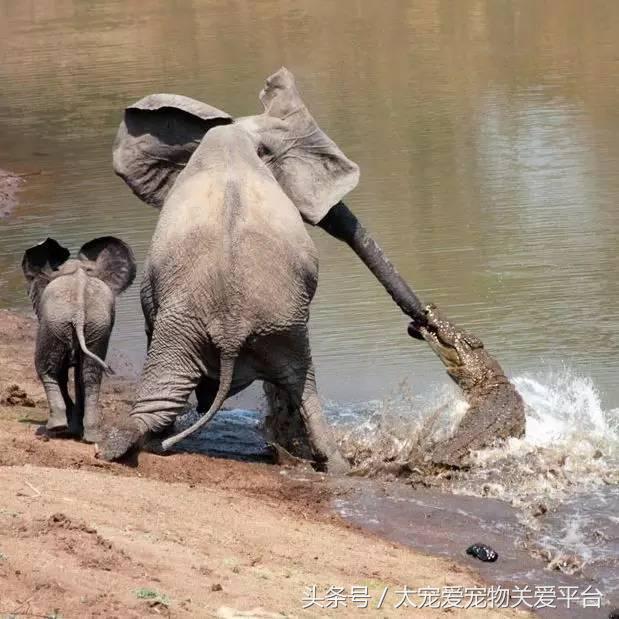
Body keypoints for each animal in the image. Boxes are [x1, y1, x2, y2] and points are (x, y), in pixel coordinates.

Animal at [22, 235, 136, 444]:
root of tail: (79, 312)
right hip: (96, 326)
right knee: (91, 375)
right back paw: (90, 435)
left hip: (55, 323)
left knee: (47, 369)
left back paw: (56, 427)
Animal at [98, 68, 426, 472]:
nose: (419, 325)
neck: (238, 134)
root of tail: (231, 329)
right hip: (251, 325)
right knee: (300, 387)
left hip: (235, 326)